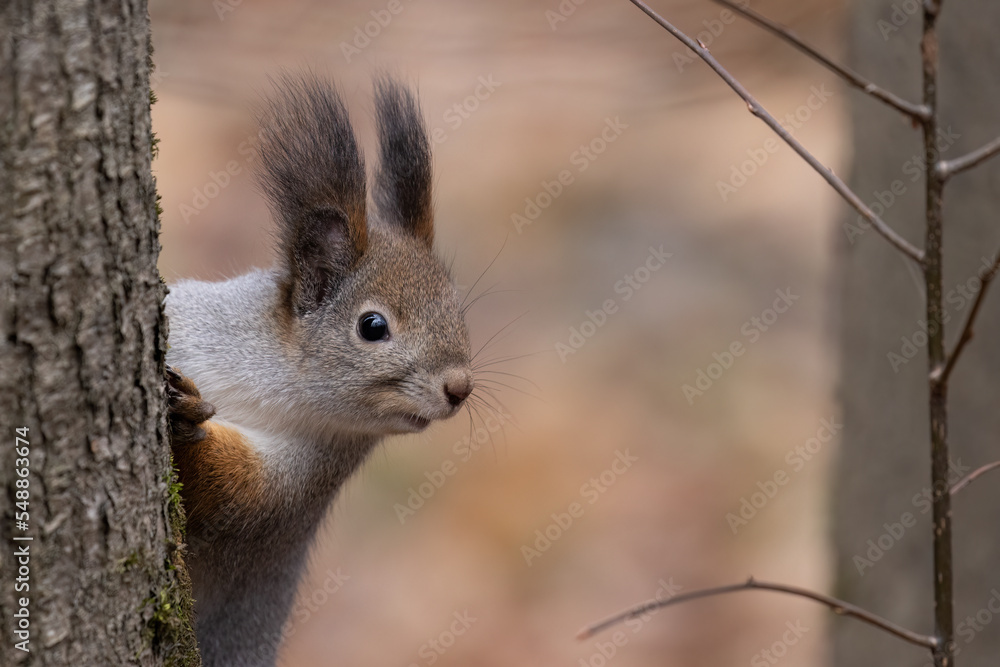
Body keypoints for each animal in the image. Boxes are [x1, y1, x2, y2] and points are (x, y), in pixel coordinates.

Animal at [163, 73, 475, 667]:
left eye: (458, 310)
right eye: (373, 326)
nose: (460, 387)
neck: (262, 378)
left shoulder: (297, 491)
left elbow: (233, 495)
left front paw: (185, 423)